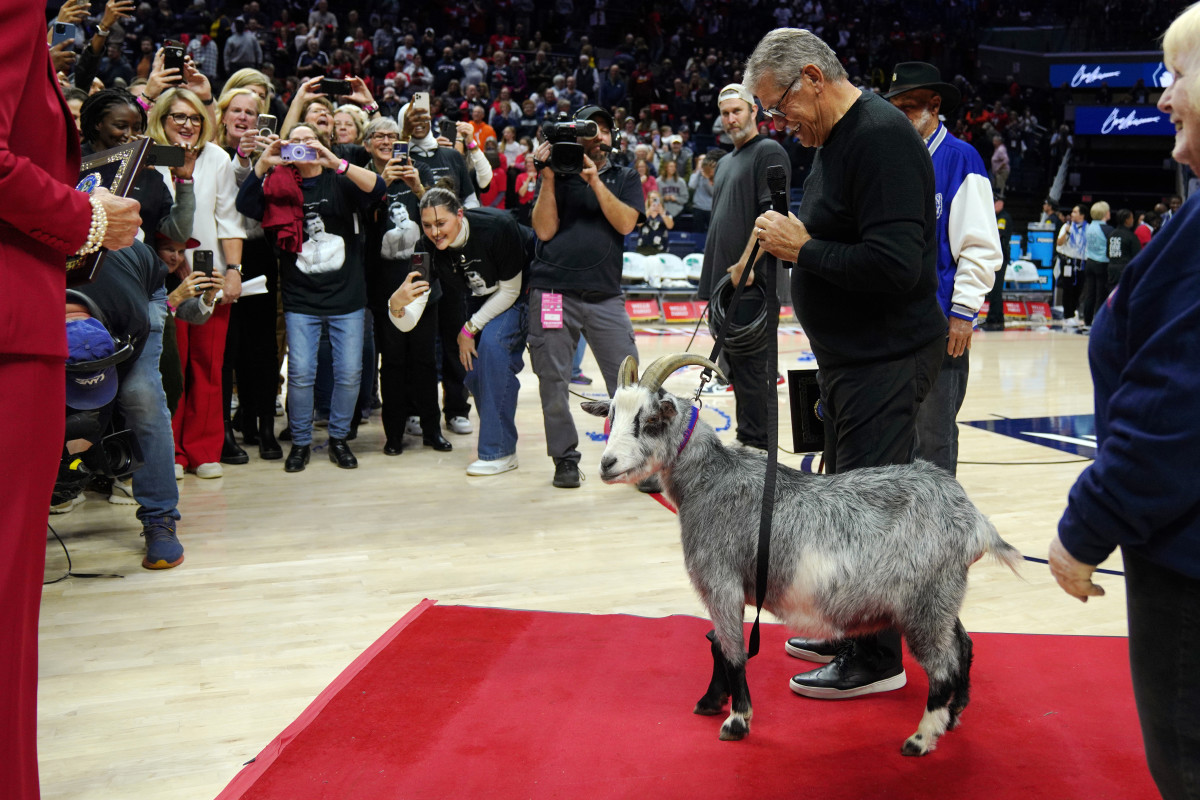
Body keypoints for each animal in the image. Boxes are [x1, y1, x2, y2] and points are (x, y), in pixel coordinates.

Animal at [580, 352, 1022, 753]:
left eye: (650, 422)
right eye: (611, 417)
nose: (607, 464)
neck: (710, 480)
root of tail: (974, 521)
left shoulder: (721, 581)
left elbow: (732, 650)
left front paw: (737, 720)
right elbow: (717, 643)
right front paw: (711, 701)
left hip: (923, 604)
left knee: (943, 666)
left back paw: (922, 737)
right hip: (942, 597)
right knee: (963, 646)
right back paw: (954, 714)